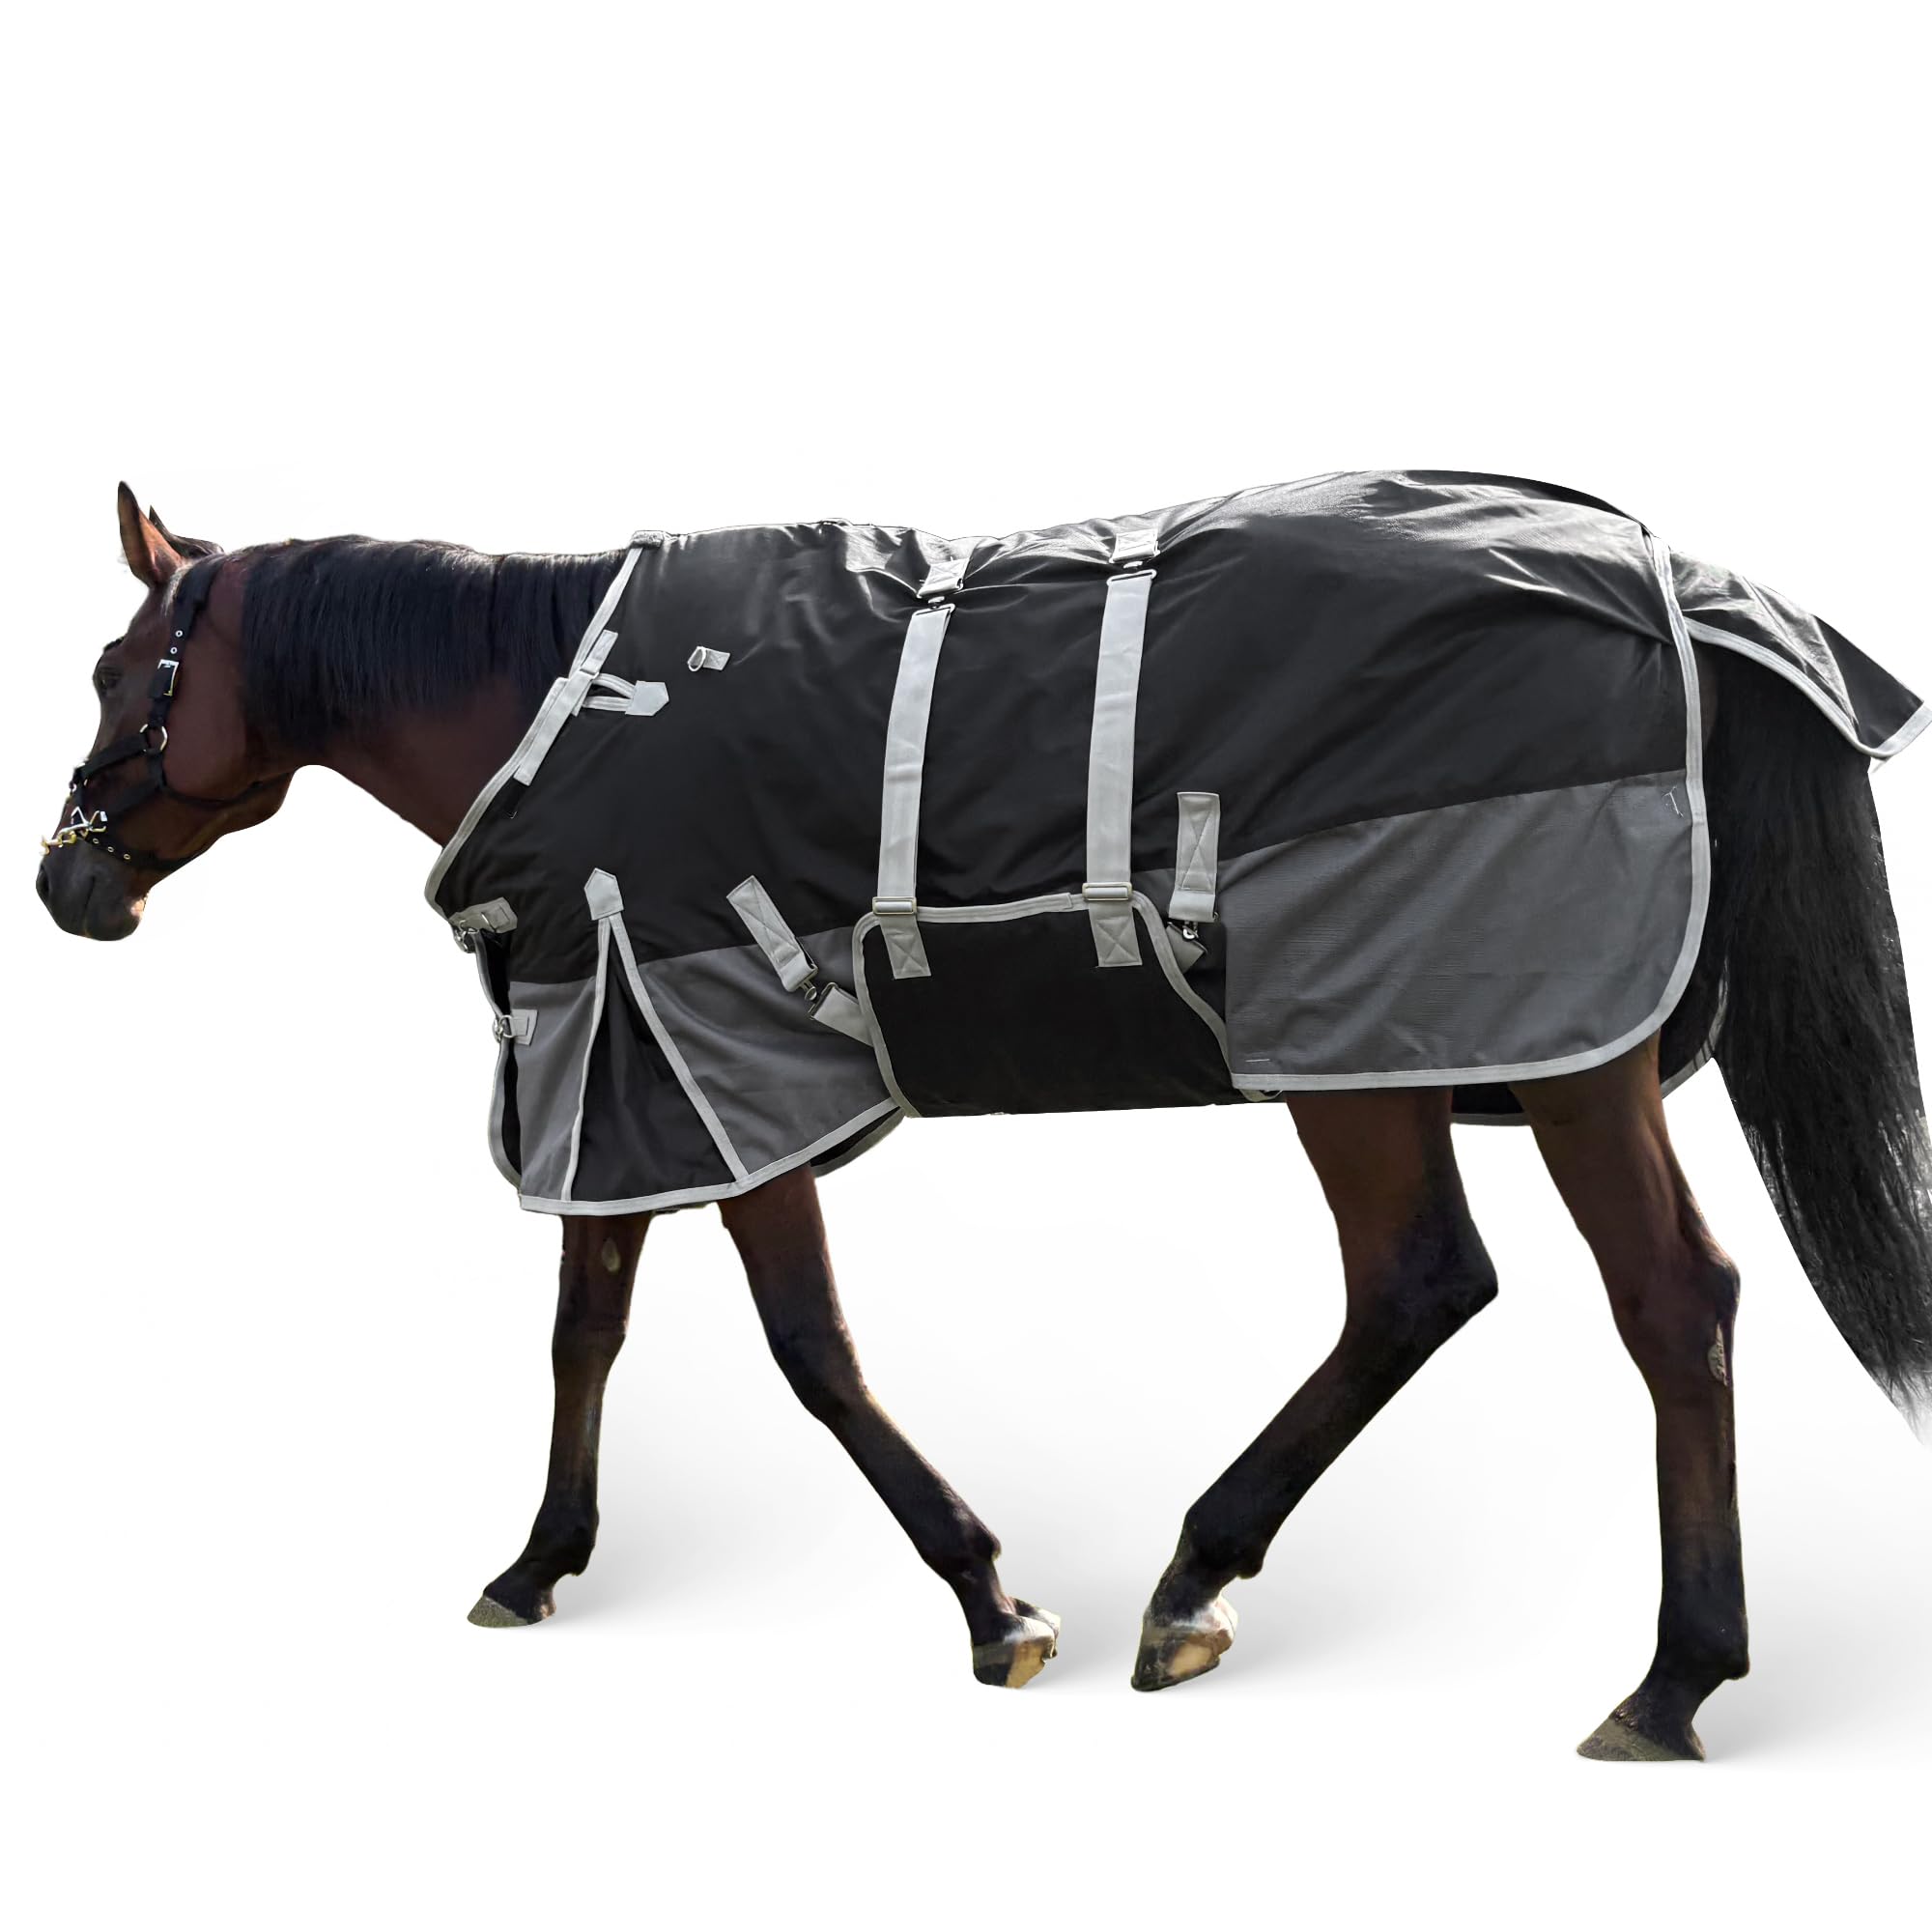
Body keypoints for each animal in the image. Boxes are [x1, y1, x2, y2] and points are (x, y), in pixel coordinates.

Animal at [37, 481, 1932, 1763]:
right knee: (1421, 1286)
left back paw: (1669, 1679)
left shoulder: (718, 1060)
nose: (68, 885)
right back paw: (1201, 1583)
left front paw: (990, 1603)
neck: (568, 712)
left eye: (119, 667)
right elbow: (586, 1330)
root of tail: (1681, 586)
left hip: (1506, 1042)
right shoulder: (630, 1072)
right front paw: (540, 1561)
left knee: (1663, 1305)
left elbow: (808, 1351)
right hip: (1376, 1050)